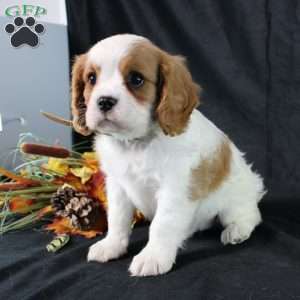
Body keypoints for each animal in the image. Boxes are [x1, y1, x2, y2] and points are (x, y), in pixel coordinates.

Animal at [71, 33, 266, 276]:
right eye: (91, 78)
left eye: (136, 79)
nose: (104, 101)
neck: (136, 143)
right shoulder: (117, 185)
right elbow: (117, 218)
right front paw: (112, 245)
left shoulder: (175, 189)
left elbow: (162, 225)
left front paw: (153, 256)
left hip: (234, 202)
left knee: (250, 215)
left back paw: (237, 230)